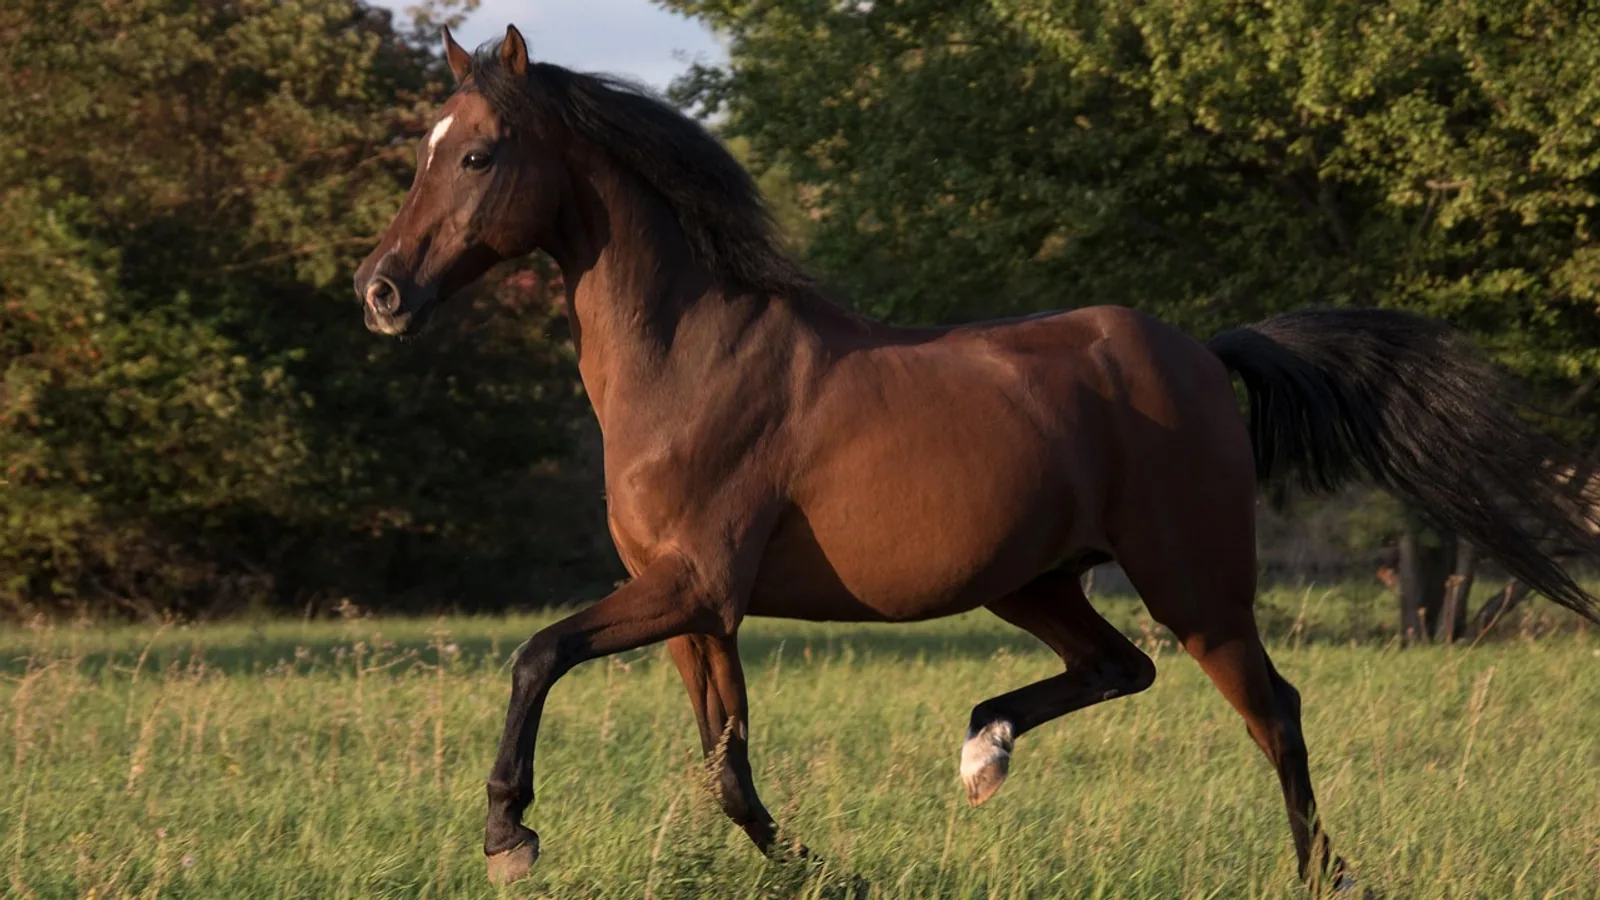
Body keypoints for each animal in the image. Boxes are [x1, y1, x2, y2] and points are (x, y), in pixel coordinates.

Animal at [353, 24, 1600, 892]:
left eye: (477, 153)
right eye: (422, 151)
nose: (381, 291)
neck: (693, 358)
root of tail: (1202, 349)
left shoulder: (692, 587)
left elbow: (539, 656)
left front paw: (507, 833)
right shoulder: (695, 613)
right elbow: (728, 771)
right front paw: (830, 874)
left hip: (1194, 585)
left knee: (1272, 710)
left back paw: (1321, 873)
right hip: (1035, 582)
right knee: (1119, 669)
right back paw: (981, 750)